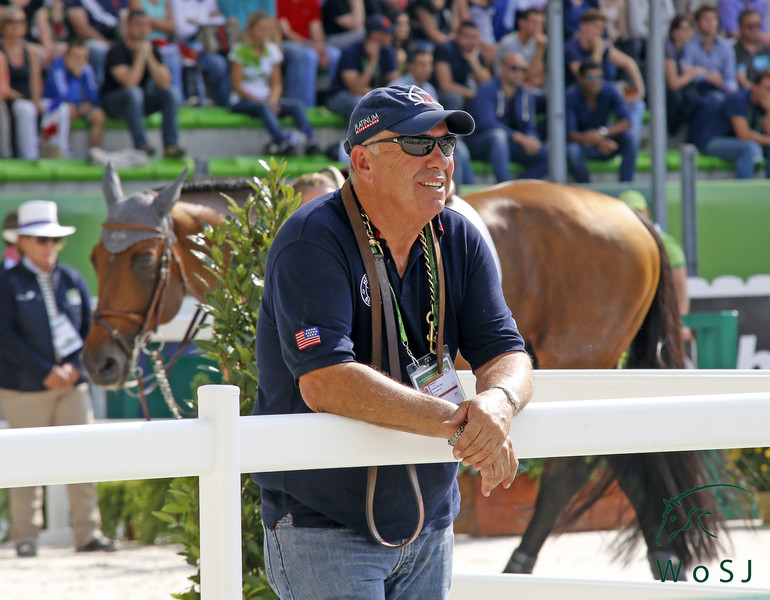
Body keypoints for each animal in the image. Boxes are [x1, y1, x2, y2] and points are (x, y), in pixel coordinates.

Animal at [81, 166, 724, 580]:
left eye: (142, 259)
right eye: (92, 258)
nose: (99, 361)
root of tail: (633, 215)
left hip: (579, 353)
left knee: (581, 466)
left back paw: (522, 565)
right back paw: (662, 558)